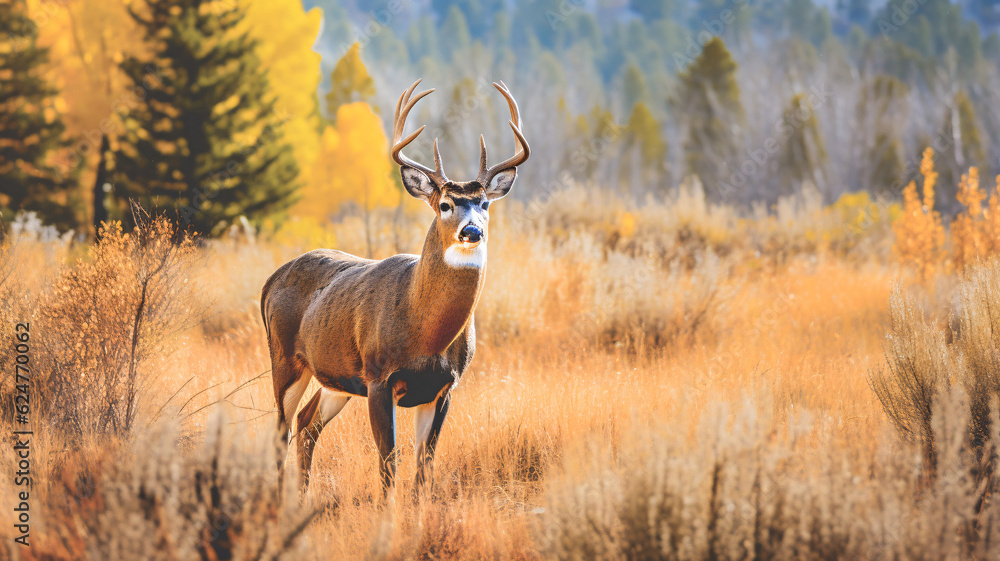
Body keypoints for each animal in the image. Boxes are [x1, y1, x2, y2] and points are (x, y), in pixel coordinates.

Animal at [260, 79, 529, 495]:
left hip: (334, 379)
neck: (426, 332)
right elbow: (388, 465)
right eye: (445, 204)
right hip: (285, 359)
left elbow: (423, 469)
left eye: (484, 203)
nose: (472, 231)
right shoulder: (378, 376)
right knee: (280, 429)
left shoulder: (443, 389)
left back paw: (302, 496)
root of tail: (271, 280)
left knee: (306, 423)